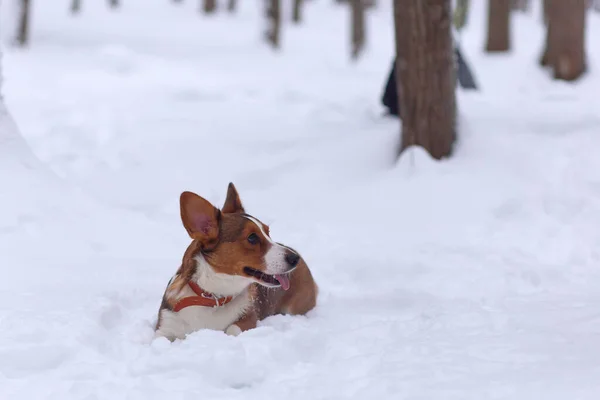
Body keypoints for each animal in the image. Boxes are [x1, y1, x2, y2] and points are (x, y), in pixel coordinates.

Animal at [155, 183, 318, 340]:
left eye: (268, 232)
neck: (213, 297)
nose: (295, 258)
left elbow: (232, 329)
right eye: (252, 238)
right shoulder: (164, 327)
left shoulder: (249, 318)